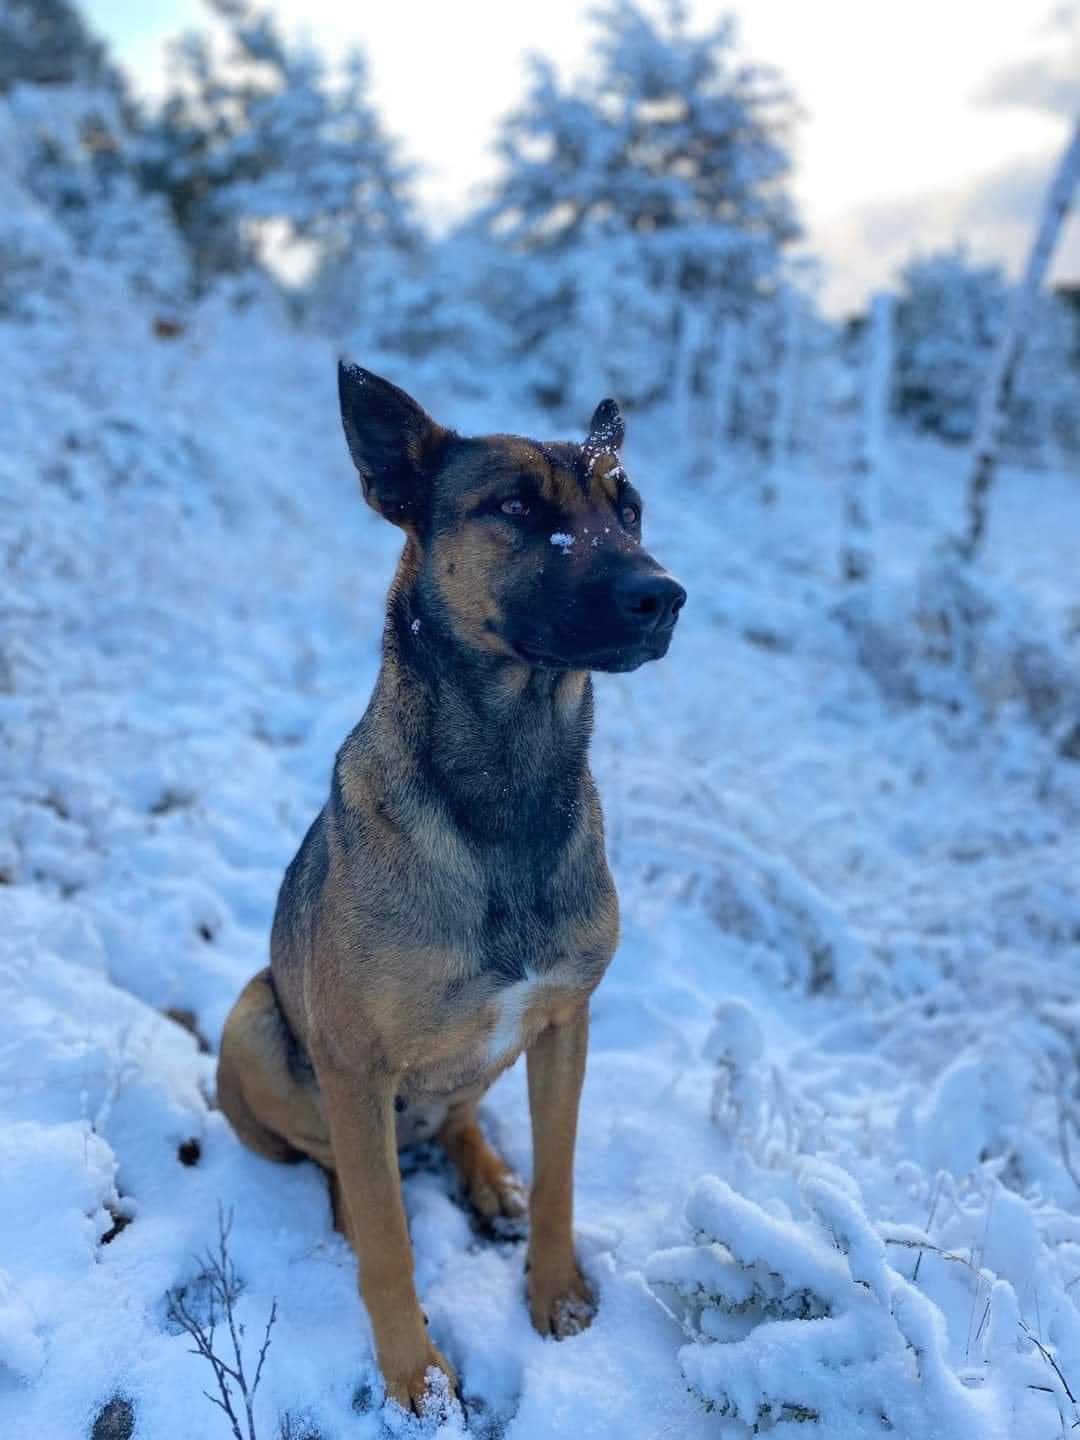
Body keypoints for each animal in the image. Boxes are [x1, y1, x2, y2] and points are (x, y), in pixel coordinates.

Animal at [217, 365, 688, 1411]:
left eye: (629, 505)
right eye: (515, 507)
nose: (665, 595)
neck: (511, 786)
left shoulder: (563, 1020)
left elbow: (560, 1176)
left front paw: (556, 1290)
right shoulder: (353, 1063)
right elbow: (391, 1245)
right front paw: (417, 1379)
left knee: (465, 1117)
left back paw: (488, 1175)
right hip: (256, 1022)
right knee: (342, 1169)